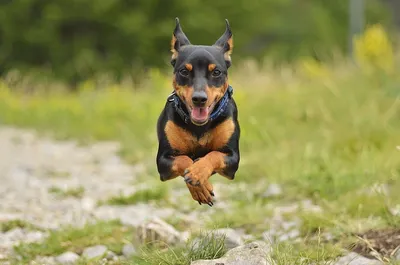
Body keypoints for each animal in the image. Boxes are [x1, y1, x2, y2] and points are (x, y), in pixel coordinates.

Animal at [155, 18, 239, 206]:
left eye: (216, 72)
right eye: (184, 71)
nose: (199, 99)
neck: (199, 126)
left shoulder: (233, 159)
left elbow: (214, 155)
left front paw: (198, 172)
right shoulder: (163, 161)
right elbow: (184, 160)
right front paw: (200, 186)